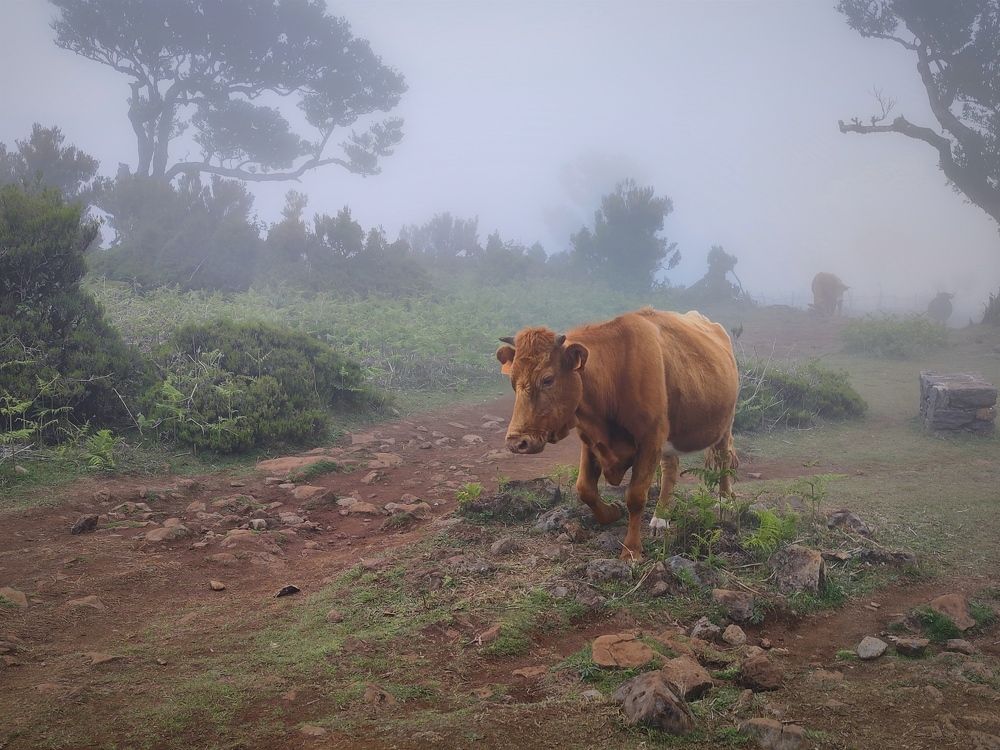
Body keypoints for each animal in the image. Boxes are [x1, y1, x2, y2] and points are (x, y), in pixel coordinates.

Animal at [496, 307, 740, 561]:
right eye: (513, 381)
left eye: (547, 379)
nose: (517, 442)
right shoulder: (592, 440)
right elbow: (585, 489)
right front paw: (612, 513)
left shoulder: (650, 439)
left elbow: (635, 497)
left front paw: (631, 549)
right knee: (670, 467)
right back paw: (660, 519)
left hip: (724, 423)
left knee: (723, 458)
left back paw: (725, 504)